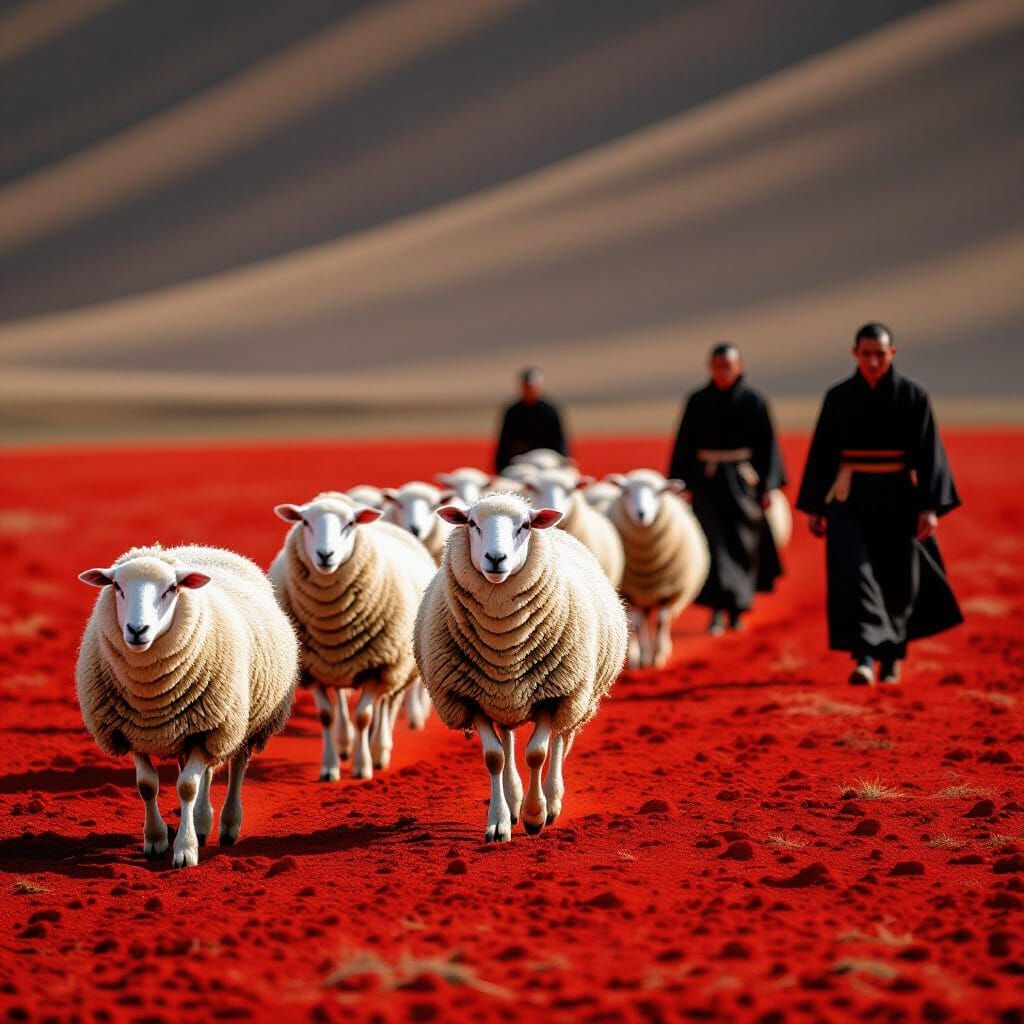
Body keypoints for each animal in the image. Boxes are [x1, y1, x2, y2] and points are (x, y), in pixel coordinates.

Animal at [76, 544, 299, 868]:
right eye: (117, 586)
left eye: (171, 589)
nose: (137, 629)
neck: (150, 694)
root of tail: (206, 549)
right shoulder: (134, 733)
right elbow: (147, 785)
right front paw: (156, 840)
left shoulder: (212, 729)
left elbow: (187, 787)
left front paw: (185, 849)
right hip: (189, 728)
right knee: (203, 772)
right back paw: (201, 821)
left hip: (241, 722)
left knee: (236, 768)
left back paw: (228, 825)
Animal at [269, 492, 436, 780]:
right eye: (305, 522)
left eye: (350, 524)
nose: (325, 555)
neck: (333, 617)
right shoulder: (313, 670)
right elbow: (327, 715)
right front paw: (330, 767)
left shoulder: (379, 667)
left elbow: (364, 716)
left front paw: (363, 765)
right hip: (337, 666)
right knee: (344, 703)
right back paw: (346, 743)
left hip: (399, 666)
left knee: (388, 705)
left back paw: (380, 750)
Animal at [414, 493, 628, 843]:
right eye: (471, 523)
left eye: (525, 526)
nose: (495, 558)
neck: (503, 639)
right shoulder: (471, 700)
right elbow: (495, 758)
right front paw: (499, 822)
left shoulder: (554, 696)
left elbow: (537, 754)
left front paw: (535, 815)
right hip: (501, 698)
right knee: (508, 741)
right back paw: (513, 800)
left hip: (577, 696)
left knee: (561, 741)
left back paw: (552, 800)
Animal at [606, 470, 710, 669]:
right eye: (626, 492)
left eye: (659, 492)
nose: (641, 514)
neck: (647, 563)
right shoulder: (629, 593)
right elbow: (636, 624)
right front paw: (640, 658)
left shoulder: (669, 591)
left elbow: (661, 621)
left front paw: (658, 657)